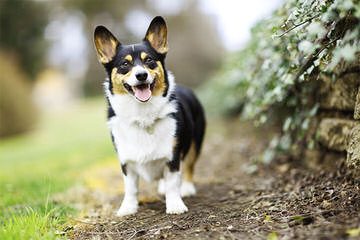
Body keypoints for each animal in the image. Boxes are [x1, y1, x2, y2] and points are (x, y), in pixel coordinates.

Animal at [93, 16, 205, 216]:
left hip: (195, 143)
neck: (142, 113)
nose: (141, 75)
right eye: (125, 64)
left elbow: (173, 183)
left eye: (150, 60)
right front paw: (128, 208)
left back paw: (187, 188)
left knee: (189, 166)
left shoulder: (173, 156)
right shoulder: (125, 161)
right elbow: (131, 188)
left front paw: (175, 205)